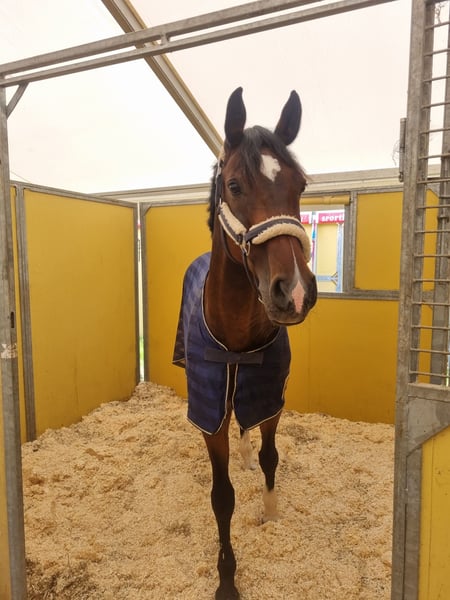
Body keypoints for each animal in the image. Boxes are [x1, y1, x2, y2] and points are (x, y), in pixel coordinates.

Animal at [173, 87, 317, 599]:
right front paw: (226, 579)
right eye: (234, 186)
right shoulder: (210, 411)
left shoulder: (269, 397)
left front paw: (270, 516)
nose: (295, 291)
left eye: (301, 185)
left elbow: (269, 456)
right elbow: (222, 497)